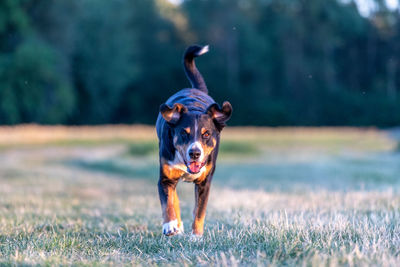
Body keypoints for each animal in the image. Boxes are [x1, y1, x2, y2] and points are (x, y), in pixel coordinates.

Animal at [155, 45, 231, 238]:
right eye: (184, 133)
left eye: (206, 134)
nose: (195, 153)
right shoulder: (165, 178)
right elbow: (168, 203)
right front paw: (170, 225)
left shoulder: (205, 183)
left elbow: (199, 211)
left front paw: (196, 237)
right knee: (174, 198)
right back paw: (177, 225)